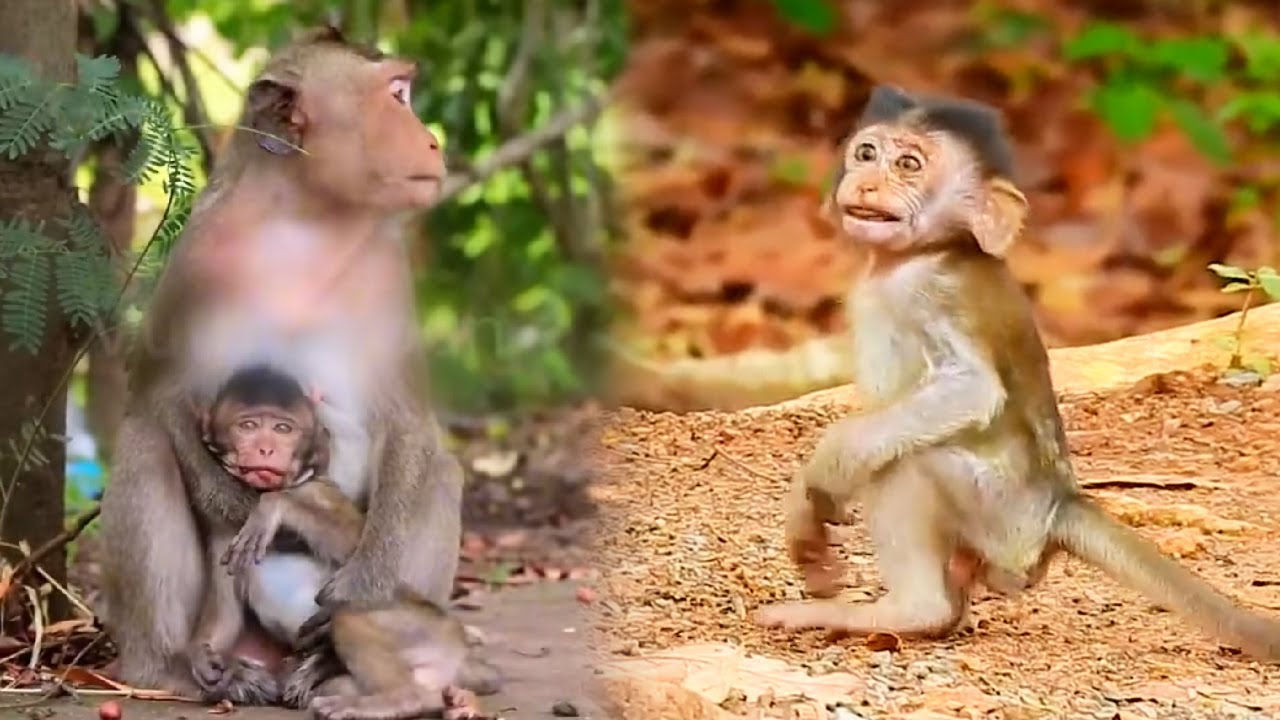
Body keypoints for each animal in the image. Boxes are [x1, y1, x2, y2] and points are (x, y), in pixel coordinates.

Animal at [96, 25, 497, 701]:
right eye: (396, 96)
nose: (433, 139)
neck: (306, 219)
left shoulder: (388, 268)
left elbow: (409, 422)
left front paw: (358, 576)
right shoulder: (197, 259)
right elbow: (158, 395)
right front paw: (238, 506)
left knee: (441, 468)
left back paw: (336, 666)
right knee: (144, 444)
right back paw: (173, 667)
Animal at [753, 85, 1280, 662]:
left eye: (909, 165)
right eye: (866, 153)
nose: (866, 182)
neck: (923, 253)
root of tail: (1059, 507)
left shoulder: (929, 293)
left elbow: (972, 389)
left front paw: (825, 470)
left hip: (1001, 516)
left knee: (909, 462)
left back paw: (908, 612)